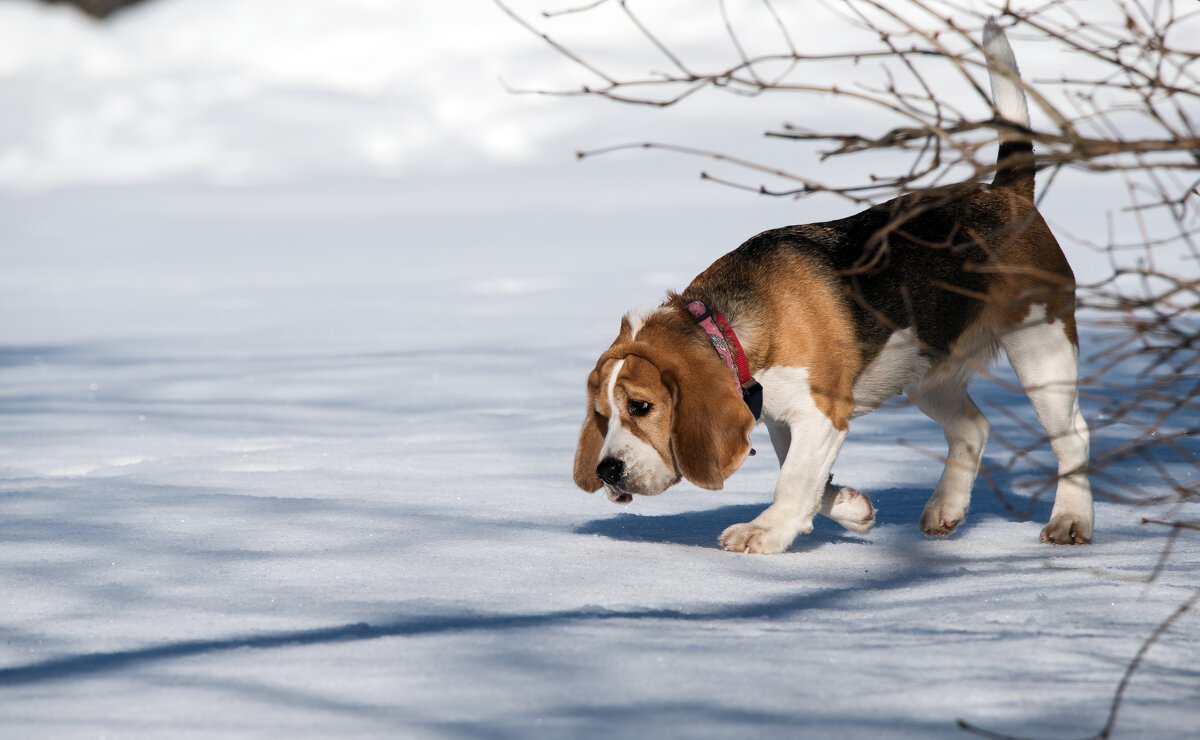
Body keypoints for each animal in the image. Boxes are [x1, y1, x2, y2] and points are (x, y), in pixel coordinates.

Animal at [573, 20, 1099, 551]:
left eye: (641, 407)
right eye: (601, 413)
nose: (608, 471)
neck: (730, 331)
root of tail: (1006, 195)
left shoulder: (822, 411)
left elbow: (792, 480)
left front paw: (766, 531)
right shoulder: (783, 419)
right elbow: (805, 477)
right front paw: (850, 507)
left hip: (1041, 349)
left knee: (1072, 434)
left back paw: (1070, 519)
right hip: (927, 370)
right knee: (973, 428)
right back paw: (945, 509)